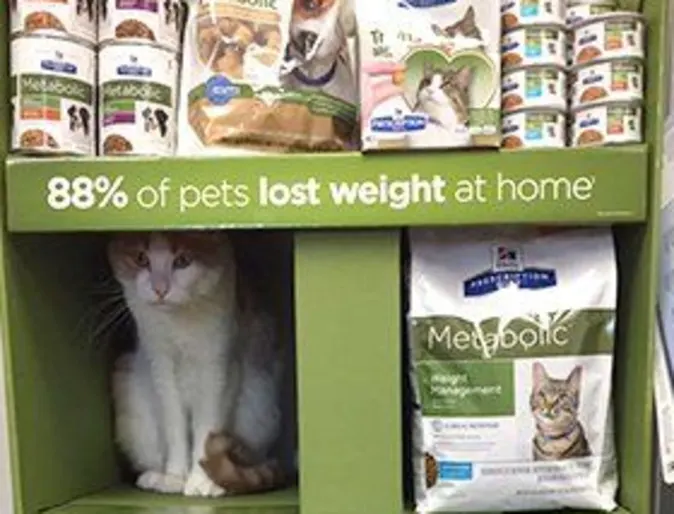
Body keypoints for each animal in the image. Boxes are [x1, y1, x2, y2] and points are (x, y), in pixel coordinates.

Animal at [109, 230, 290, 494]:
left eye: (183, 261)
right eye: (141, 258)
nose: (160, 289)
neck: (179, 324)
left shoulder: (218, 369)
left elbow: (207, 429)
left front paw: (203, 480)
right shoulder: (161, 367)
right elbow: (174, 426)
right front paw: (174, 476)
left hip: (259, 406)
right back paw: (154, 476)